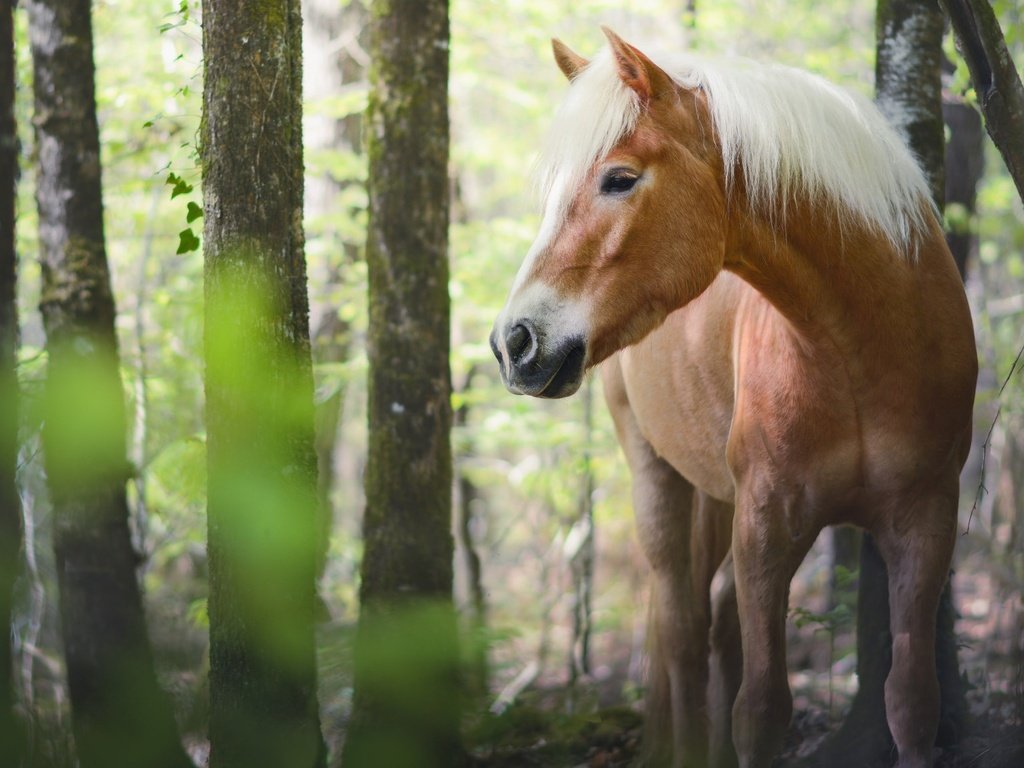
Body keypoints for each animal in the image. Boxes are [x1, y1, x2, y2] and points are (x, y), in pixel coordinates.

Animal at [487, 27, 974, 768]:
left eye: (620, 178)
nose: (513, 343)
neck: (858, 352)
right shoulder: (766, 524)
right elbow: (762, 709)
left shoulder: (925, 522)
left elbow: (912, 702)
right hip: (658, 478)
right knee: (685, 631)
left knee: (714, 623)